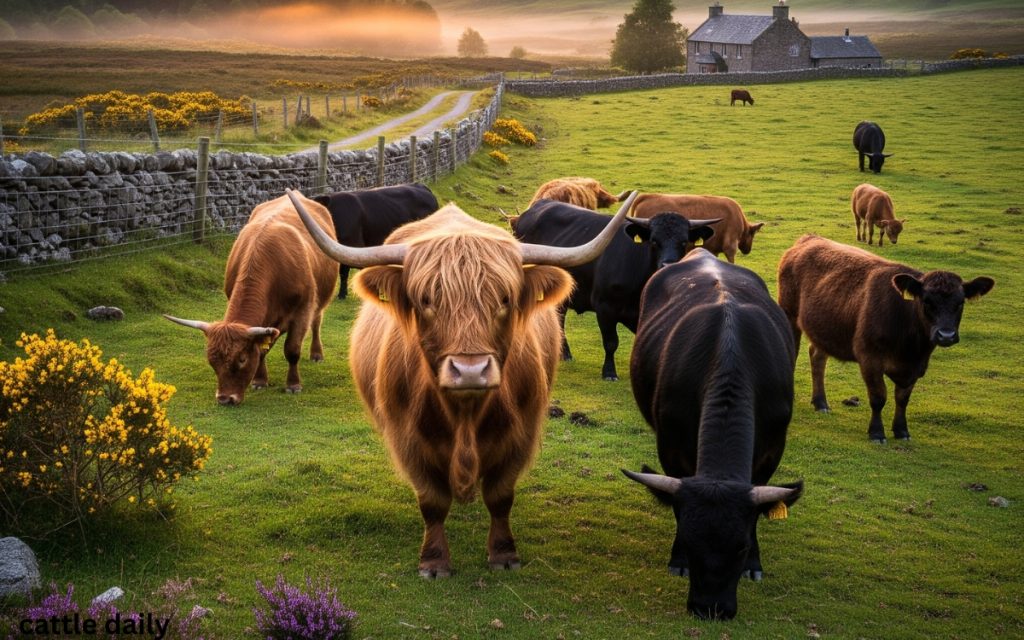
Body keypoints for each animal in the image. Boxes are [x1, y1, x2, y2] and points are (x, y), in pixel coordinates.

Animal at [164, 193, 338, 405]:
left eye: (242, 359)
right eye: (212, 362)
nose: (225, 398)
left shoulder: (302, 312)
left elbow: (292, 349)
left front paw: (293, 385)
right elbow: (261, 350)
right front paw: (260, 380)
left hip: (320, 300)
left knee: (317, 322)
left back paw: (316, 354)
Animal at [287, 188, 633, 577]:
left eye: (504, 299)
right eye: (426, 300)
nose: (470, 370)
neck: (465, 414)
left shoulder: (521, 435)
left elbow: (501, 497)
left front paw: (503, 555)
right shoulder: (409, 440)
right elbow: (432, 502)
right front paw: (434, 561)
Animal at [512, 198, 719, 380]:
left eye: (684, 242)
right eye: (654, 241)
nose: (668, 265)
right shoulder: (605, 307)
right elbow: (611, 342)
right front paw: (609, 372)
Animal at [624, 249, 802, 621]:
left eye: (741, 548)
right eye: (690, 542)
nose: (711, 609)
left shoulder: (772, 448)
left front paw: (754, 565)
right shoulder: (671, 445)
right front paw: (677, 560)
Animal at [777, 234, 995, 442]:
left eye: (960, 303)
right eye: (926, 301)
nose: (946, 335)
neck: (910, 348)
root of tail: (810, 239)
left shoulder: (916, 367)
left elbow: (902, 399)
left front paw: (901, 430)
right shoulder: (870, 360)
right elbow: (878, 397)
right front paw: (877, 433)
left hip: (824, 328)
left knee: (817, 358)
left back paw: (821, 402)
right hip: (789, 314)